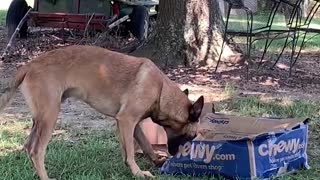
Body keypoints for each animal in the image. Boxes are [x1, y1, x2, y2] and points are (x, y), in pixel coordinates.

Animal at [0, 44, 204, 179]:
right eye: (192, 136)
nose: (176, 156)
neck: (160, 90)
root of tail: (29, 65)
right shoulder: (127, 120)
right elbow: (131, 151)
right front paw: (137, 172)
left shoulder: (132, 124)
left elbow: (144, 144)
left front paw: (156, 161)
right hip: (50, 116)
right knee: (36, 151)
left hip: (40, 119)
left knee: (28, 147)